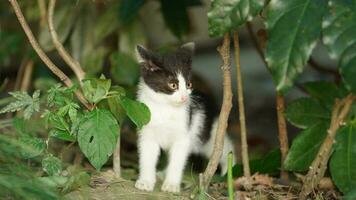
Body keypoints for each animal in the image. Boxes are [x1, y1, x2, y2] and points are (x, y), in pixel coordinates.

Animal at [134, 43, 234, 193]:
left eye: (188, 84)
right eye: (173, 85)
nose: (184, 97)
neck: (165, 107)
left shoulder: (183, 135)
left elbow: (177, 160)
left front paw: (171, 185)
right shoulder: (147, 129)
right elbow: (147, 156)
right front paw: (146, 181)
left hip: (208, 134)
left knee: (224, 148)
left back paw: (230, 169)